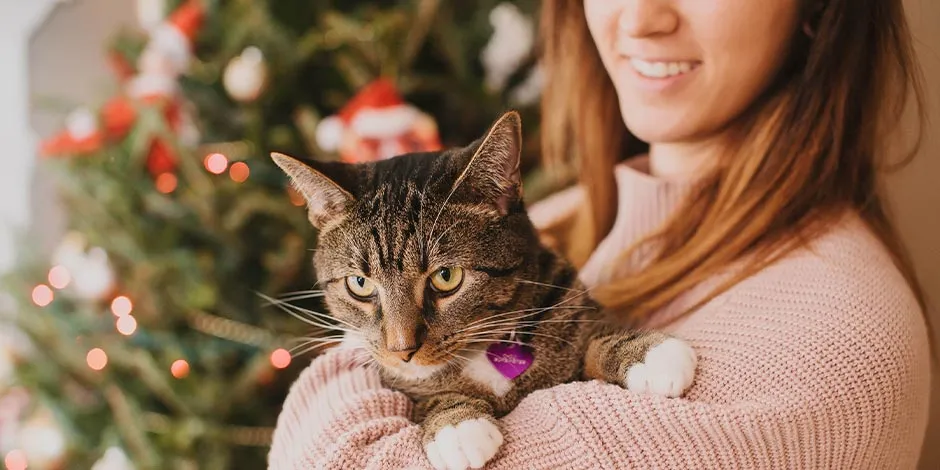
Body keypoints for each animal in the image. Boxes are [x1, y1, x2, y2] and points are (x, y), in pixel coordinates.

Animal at [268, 111, 692, 470]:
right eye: (360, 284)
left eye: (446, 277)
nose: (402, 349)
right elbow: (427, 397)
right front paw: (457, 426)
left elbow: (594, 336)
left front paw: (648, 353)